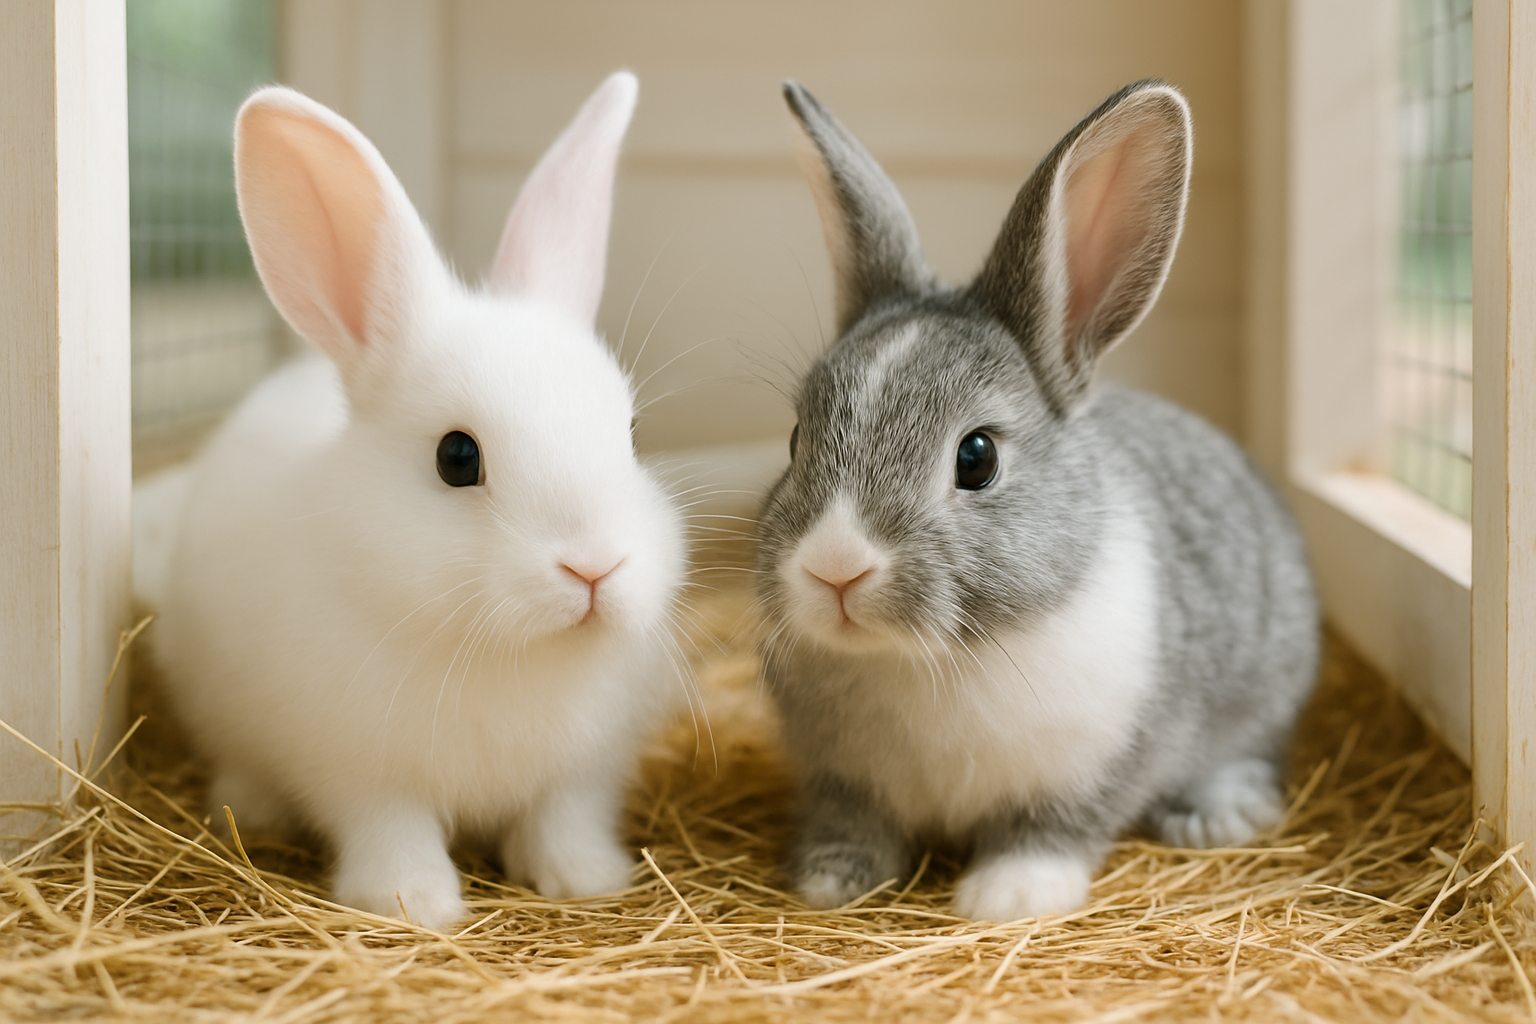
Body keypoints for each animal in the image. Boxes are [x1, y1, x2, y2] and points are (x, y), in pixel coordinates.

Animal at [152, 72, 687, 929]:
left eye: (631, 434)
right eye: (456, 457)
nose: (595, 568)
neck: (510, 653)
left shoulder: (582, 775)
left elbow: (562, 820)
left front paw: (586, 880)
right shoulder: (362, 775)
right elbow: (391, 829)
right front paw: (413, 903)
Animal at [756, 80, 1319, 922]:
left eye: (977, 457)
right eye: (797, 438)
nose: (835, 568)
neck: (934, 658)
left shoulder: (1098, 767)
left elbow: (1052, 830)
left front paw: (1009, 895)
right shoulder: (842, 784)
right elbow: (853, 824)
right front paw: (831, 881)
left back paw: (1220, 814)